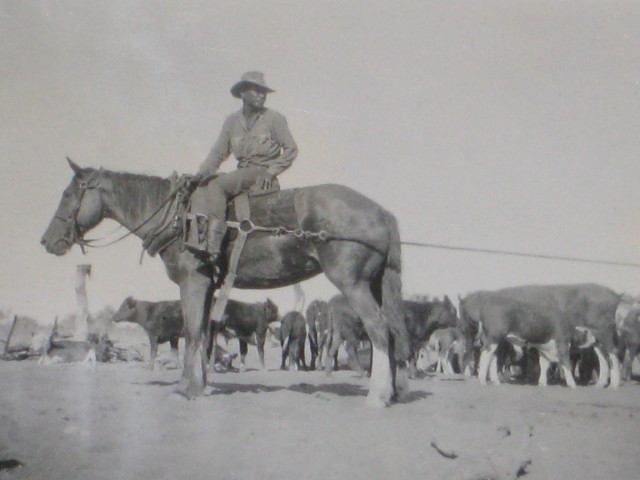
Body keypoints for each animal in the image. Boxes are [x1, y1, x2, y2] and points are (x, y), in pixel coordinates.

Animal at [41, 159, 410, 406]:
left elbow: (192, 332)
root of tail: (381, 212)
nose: (47, 241)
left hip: (353, 284)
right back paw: (391, 390)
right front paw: (201, 383)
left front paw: (187, 388)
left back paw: (378, 394)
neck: (180, 217)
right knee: (391, 332)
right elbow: (204, 334)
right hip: (375, 284)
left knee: (378, 329)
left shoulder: (193, 282)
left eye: (69, 194)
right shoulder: (209, 287)